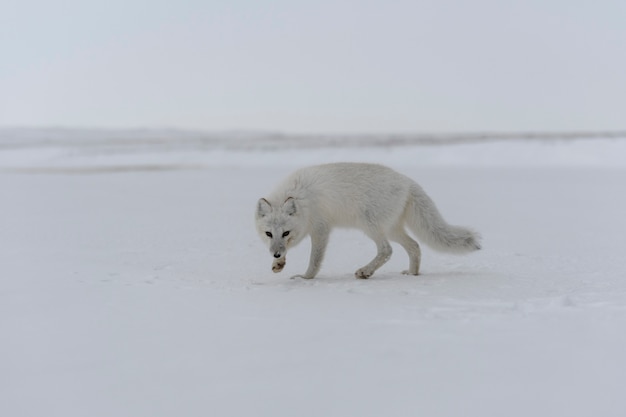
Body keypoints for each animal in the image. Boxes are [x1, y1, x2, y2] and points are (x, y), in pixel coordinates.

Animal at [254, 162, 478, 280]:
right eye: (268, 233)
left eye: (286, 232)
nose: (275, 253)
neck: (302, 198)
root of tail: (408, 181)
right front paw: (279, 263)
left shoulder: (321, 229)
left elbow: (314, 260)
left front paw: (305, 277)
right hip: (392, 229)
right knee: (414, 246)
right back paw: (412, 274)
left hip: (370, 224)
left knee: (387, 250)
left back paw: (365, 271)